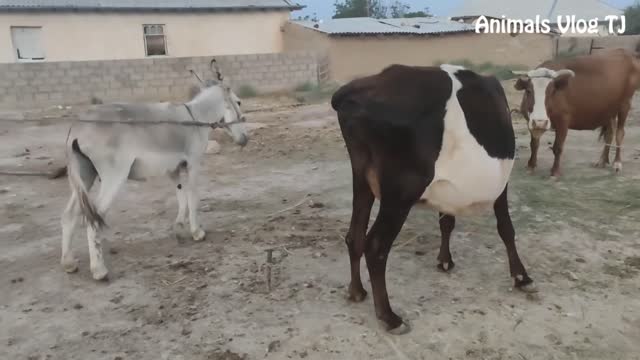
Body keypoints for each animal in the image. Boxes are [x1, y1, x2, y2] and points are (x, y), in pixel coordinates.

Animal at [60, 63, 248, 280]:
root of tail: (77, 127)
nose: (245, 140)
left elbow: (181, 195)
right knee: (93, 218)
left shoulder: (173, 168)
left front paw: (179, 228)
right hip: (114, 176)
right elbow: (193, 197)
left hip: (84, 175)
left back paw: (68, 263)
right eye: (239, 102)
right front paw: (197, 232)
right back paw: (99, 270)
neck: (195, 118)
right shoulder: (193, 163)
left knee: (69, 214)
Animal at [330, 64, 536, 334]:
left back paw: (356, 291)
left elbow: (446, 222)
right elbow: (506, 228)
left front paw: (445, 260)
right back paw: (389, 317)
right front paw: (521, 277)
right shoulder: (502, 184)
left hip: (362, 177)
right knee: (375, 246)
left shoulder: (447, 190)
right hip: (401, 192)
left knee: (355, 236)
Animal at [512, 47, 640, 177]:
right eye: (528, 91)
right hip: (609, 110)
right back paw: (602, 161)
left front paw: (555, 171)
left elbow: (558, 147)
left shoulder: (563, 120)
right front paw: (531, 166)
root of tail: (624, 52)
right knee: (609, 134)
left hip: (625, 104)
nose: (540, 122)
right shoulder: (530, 121)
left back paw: (617, 163)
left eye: (552, 91)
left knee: (620, 133)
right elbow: (534, 144)